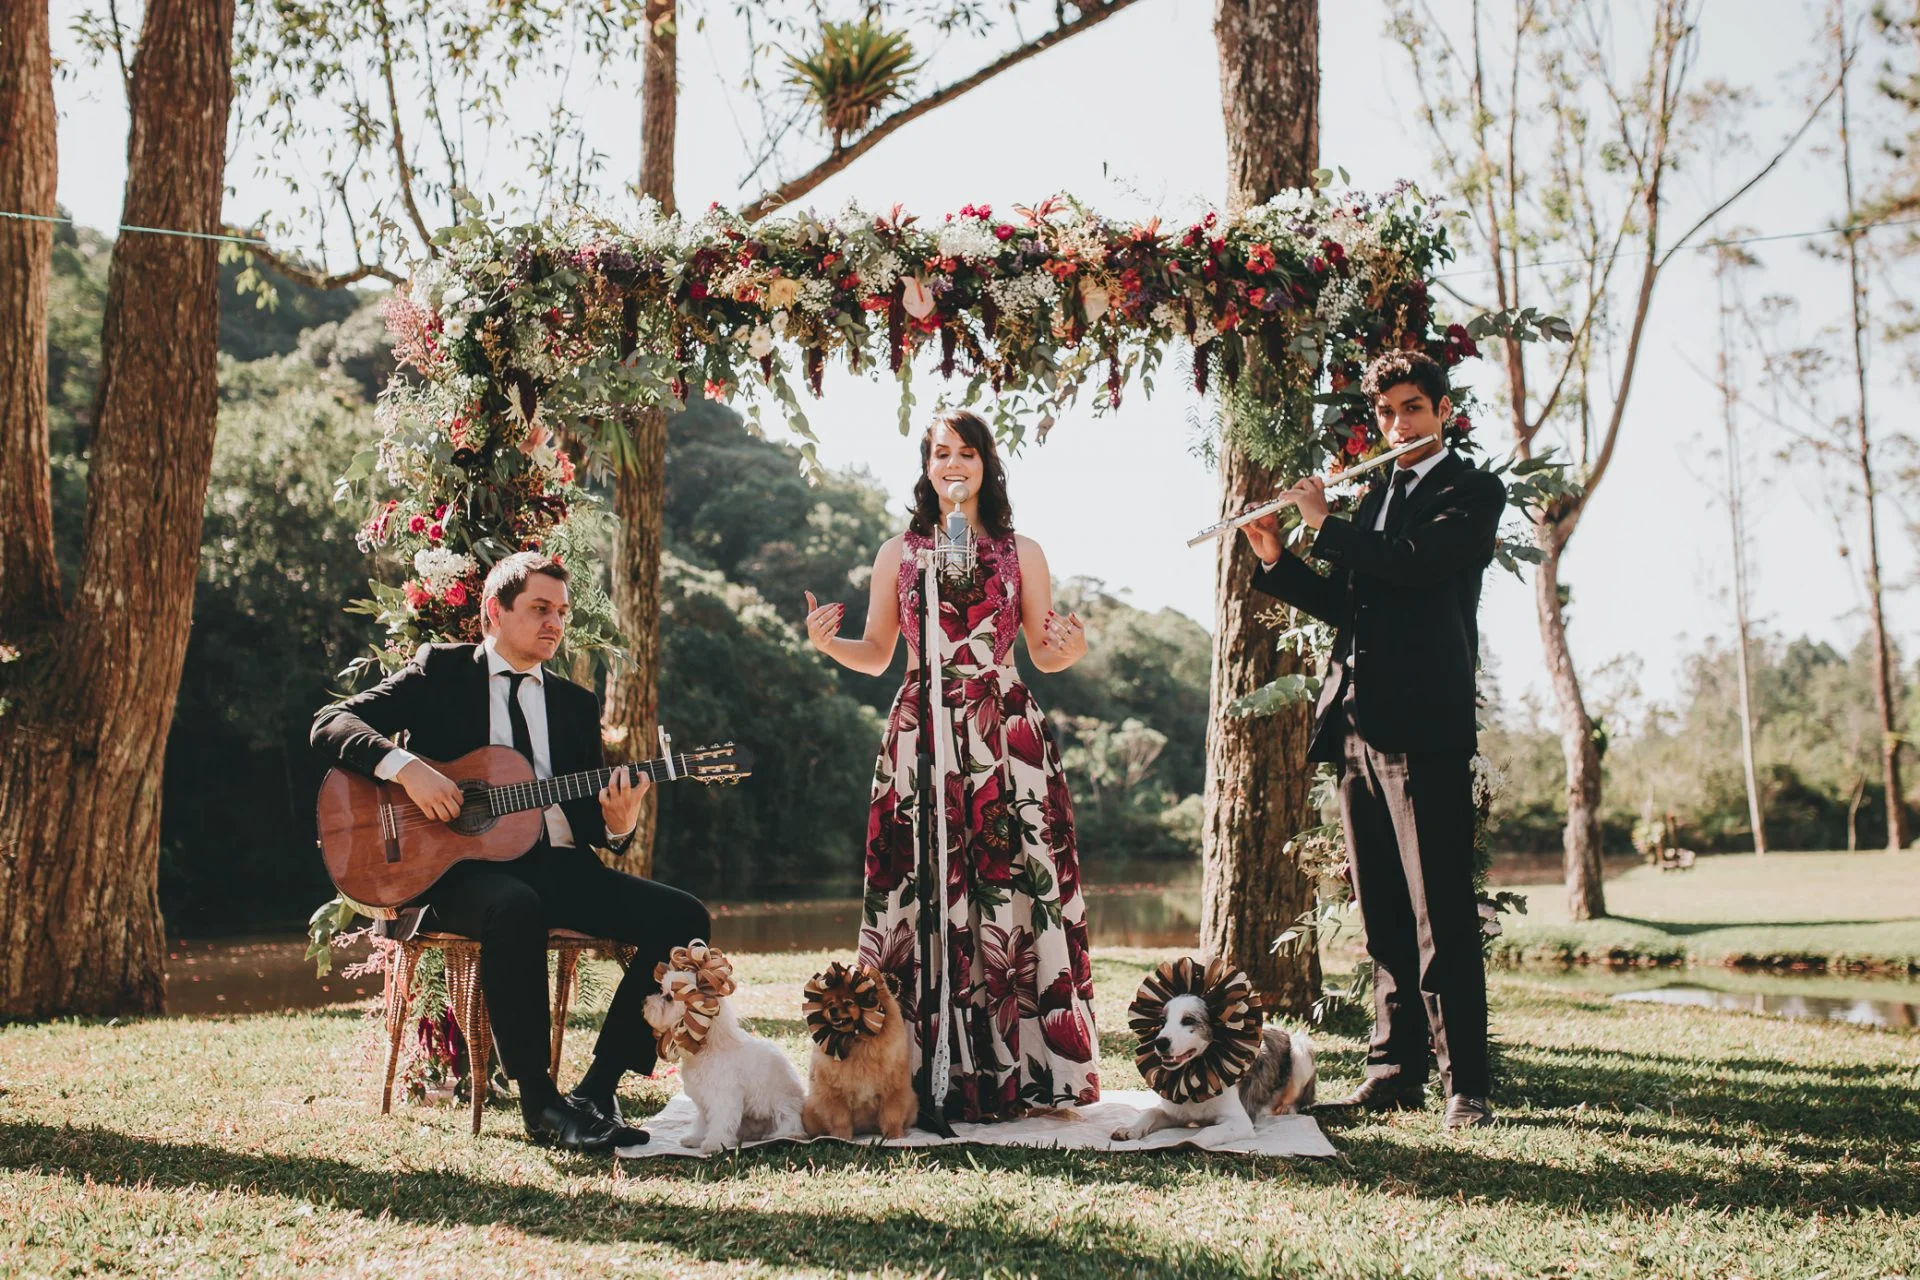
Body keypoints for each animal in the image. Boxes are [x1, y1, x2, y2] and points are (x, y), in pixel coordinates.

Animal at [637, 967, 802, 1159]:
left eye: (669, 997)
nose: (645, 1001)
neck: (708, 1047)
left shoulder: (723, 1098)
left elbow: (720, 1122)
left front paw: (714, 1144)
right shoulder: (703, 1101)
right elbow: (702, 1122)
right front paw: (695, 1139)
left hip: (783, 1109)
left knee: (788, 1124)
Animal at [794, 959, 913, 1143]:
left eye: (849, 1003)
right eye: (829, 1004)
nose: (832, 1010)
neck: (858, 1042)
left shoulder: (893, 1089)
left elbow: (891, 1115)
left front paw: (894, 1136)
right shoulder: (835, 1094)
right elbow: (840, 1119)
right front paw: (841, 1137)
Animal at [1121, 990, 1313, 1151]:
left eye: (1189, 1020)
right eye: (1162, 1021)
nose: (1160, 1043)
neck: (1194, 1075)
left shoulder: (1241, 1122)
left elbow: (1210, 1131)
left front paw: (1192, 1142)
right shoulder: (1175, 1113)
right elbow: (1151, 1112)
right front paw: (1130, 1129)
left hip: (1301, 1052)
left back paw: (1287, 1108)